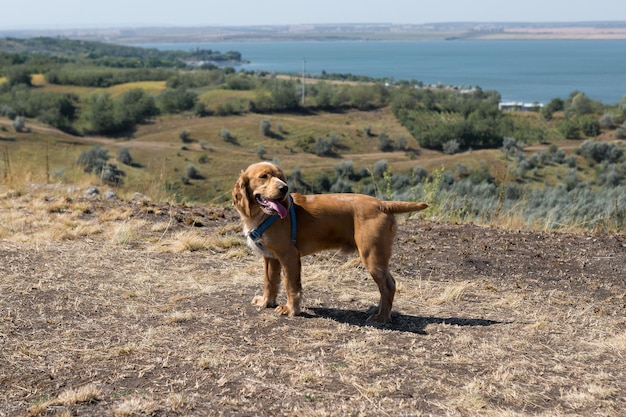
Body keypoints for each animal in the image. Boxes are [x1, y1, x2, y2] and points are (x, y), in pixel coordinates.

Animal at [232, 162, 426, 322]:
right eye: (264, 176)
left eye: (281, 177)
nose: (284, 188)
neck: (262, 216)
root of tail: (382, 204)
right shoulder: (270, 257)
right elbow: (270, 281)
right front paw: (266, 302)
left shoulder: (289, 256)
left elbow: (290, 285)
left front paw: (290, 310)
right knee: (388, 284)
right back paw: (377, 310)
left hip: (372, 255)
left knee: (388, 285)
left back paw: (382, 317)